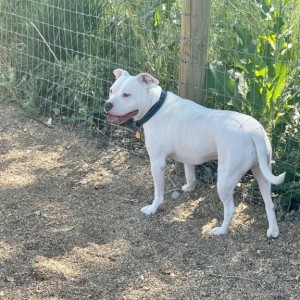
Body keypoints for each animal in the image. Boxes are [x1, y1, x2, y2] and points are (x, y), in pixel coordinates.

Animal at [105, 69, 286, 238]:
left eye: (126, 95)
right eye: (111, 90)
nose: (107, 105)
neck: (155, 106)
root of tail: (253, 131)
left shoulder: (157, 163)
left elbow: (158, 192)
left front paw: (153, 208)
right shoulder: (189, 157)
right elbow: (189, 174)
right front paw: (189, 187)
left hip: (225, 180)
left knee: (230, 209)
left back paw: (221, 230)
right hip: (261, 172)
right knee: (269, 203)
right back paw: (273, 230)